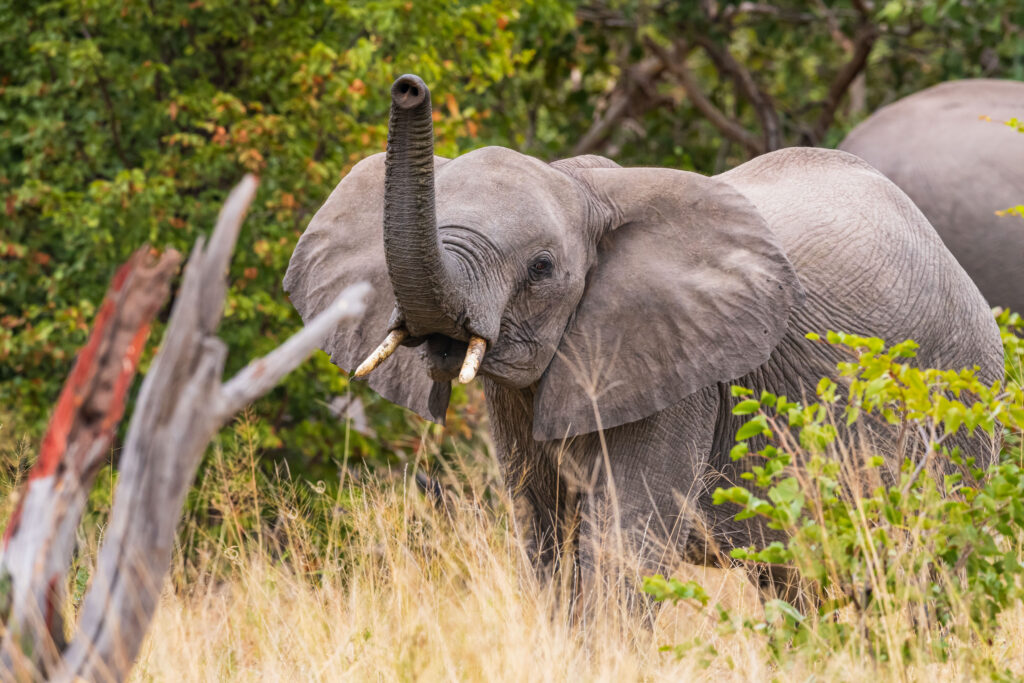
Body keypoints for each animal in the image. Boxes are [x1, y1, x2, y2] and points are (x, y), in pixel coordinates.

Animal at [284, 75, 1003, 601]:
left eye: (542, 268)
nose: (408, 87)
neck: (587, 187)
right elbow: (545, 535)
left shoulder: (684, 375)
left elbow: (622, 540)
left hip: (958, 405)